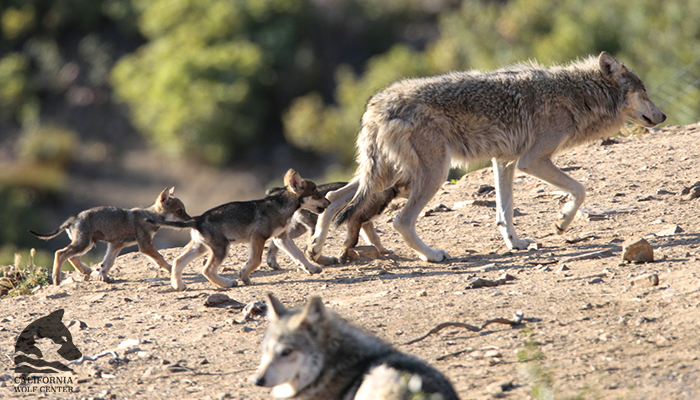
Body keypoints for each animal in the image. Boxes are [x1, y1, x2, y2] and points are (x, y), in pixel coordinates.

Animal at [29, 188, 190, 284]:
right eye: (180, 211)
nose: (191, 220)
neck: (150, 216)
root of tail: (73, 218)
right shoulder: (145, 246)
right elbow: (161, 259)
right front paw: (172, 269)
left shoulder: (115, 245)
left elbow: (107, 263)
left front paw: (104, 277)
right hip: (83, 243)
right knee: (60, 253)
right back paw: (56, 279)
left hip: (87, 243)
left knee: (73, 257)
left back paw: (86, 271)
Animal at [150, 168, 328, 288]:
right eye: (316, 194)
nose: (328, 202)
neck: (281, 206)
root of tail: (197, 220)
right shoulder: (259, 237)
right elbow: (256, 261)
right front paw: (244, 275)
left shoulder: (281, 238)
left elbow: (299, 254)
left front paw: (312, 268)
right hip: (221, 249)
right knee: (207, 270)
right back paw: (227, 283)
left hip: (201, 247)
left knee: (178, 261)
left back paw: (178, 285)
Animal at [264, 183, 404, 270]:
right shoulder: (358, 219)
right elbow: (358, 239)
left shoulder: (365, 223)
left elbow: (374, 238)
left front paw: (383, 251)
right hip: (313, 226)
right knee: (310, 248)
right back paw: (326, 260)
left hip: (299, 228)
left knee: (277, 240)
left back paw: (272, 261)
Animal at [308, 51, 668, 262]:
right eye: (645, 92)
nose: (663, 116)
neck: (576, 94)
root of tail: (375, 106)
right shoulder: (532, 160)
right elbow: (579, 189)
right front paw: (562, 222)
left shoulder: (505, 161)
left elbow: (504, 212)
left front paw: (515, 244)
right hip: (431, 174)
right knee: (401, 221)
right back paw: (432, 255)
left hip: (384, 176)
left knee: (335, 198)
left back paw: (316, 250)